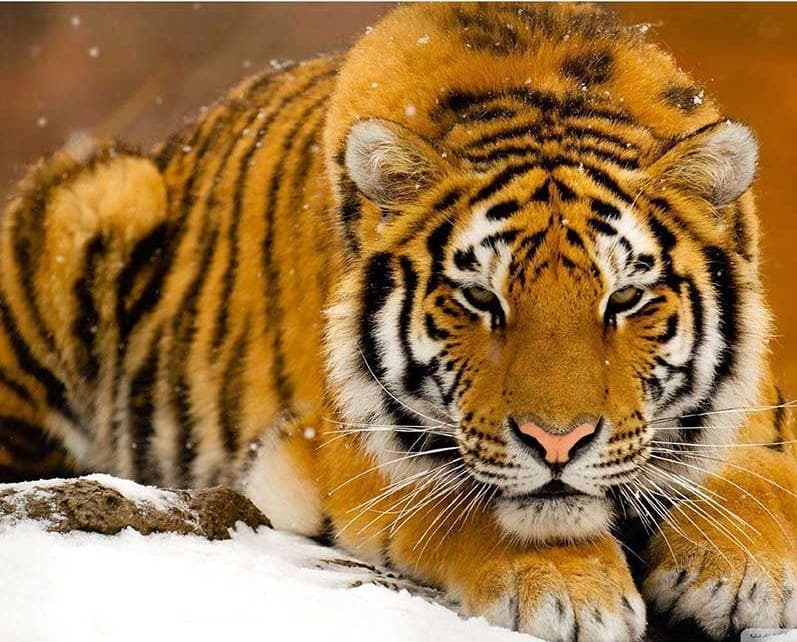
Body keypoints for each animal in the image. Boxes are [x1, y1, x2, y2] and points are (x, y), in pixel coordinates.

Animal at [1, 3, 796, 640]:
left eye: (624, 299)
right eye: (480, 299)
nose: (556, 443)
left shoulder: (755, 409)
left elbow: (755, 477)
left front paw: (747, 570)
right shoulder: (352, 451)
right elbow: (468, 505)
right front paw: (571, 592)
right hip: (97, 195)